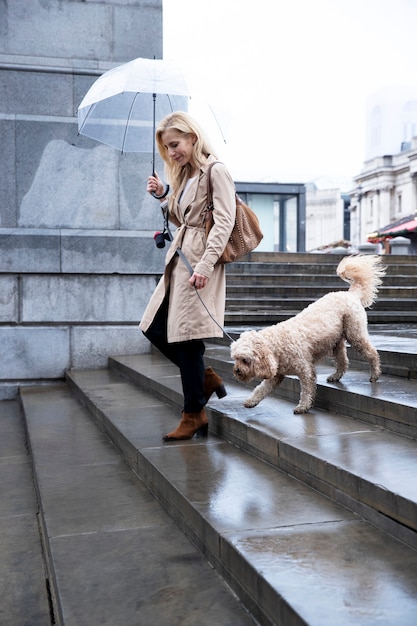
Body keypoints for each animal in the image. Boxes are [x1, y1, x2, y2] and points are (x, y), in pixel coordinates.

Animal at [229, 256, 386, 412]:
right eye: (235, 358)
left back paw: (375, 374)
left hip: (355, 333)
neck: (276, 345)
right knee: (343, 361)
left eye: (245, 360)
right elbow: (261, 389)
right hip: (336, 342)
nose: (236, 370)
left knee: (372, 353)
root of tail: (350, 293)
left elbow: (306, 390)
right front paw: (251, 401)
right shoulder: (276, 376)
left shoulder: (306, 370)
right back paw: (336, 376)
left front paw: (303, 406)